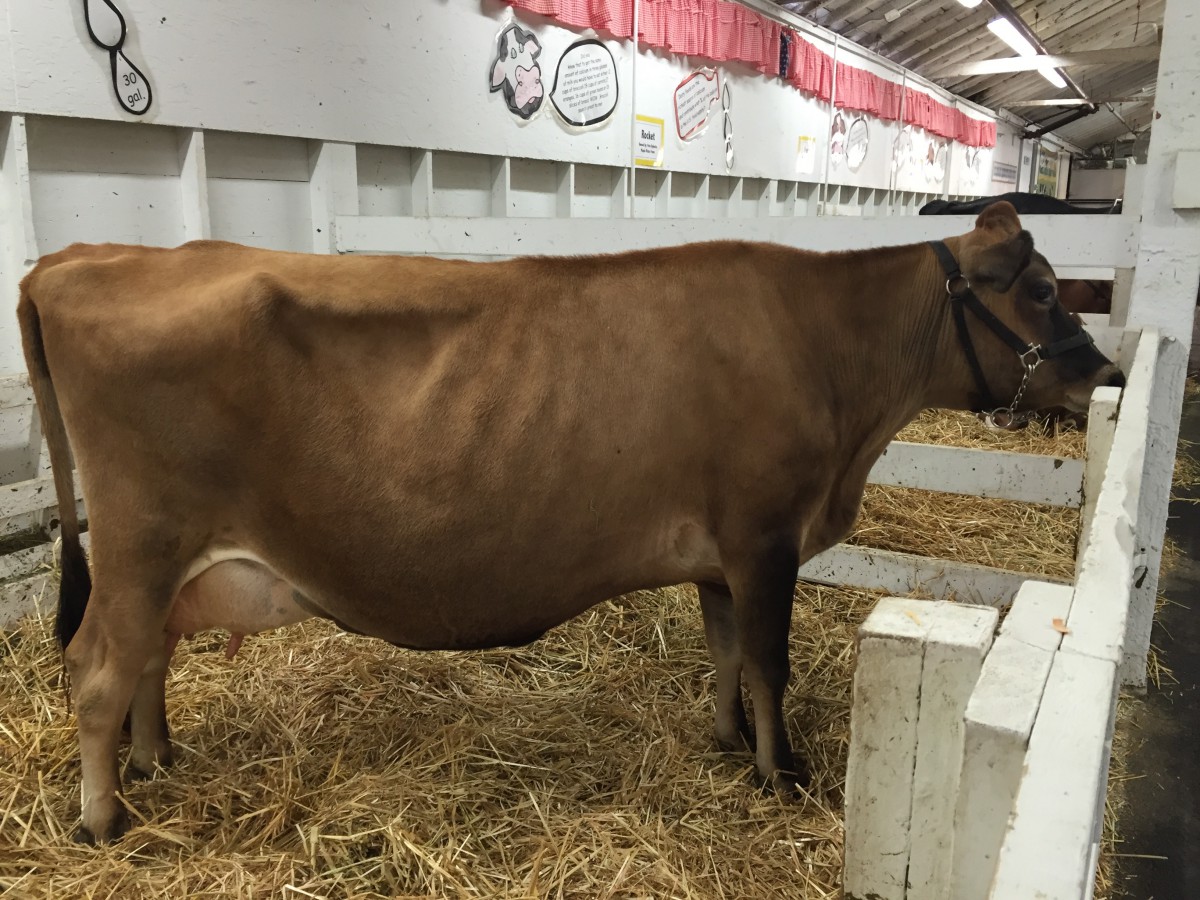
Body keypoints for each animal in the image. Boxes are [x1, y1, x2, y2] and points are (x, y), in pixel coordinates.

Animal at [19, 201, 1124, 844]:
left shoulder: (722, 556)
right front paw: (783, 773)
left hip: (161, 556)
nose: (1105, 372)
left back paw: (158, 760)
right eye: (1038, 289)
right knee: (98, 669)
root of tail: (75, 260)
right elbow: (771, 659)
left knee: (147, 659)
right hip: (143, 539)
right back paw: (103, 818)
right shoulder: (765, 534)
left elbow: (727, 650)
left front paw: (727, 740)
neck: (832, 361)